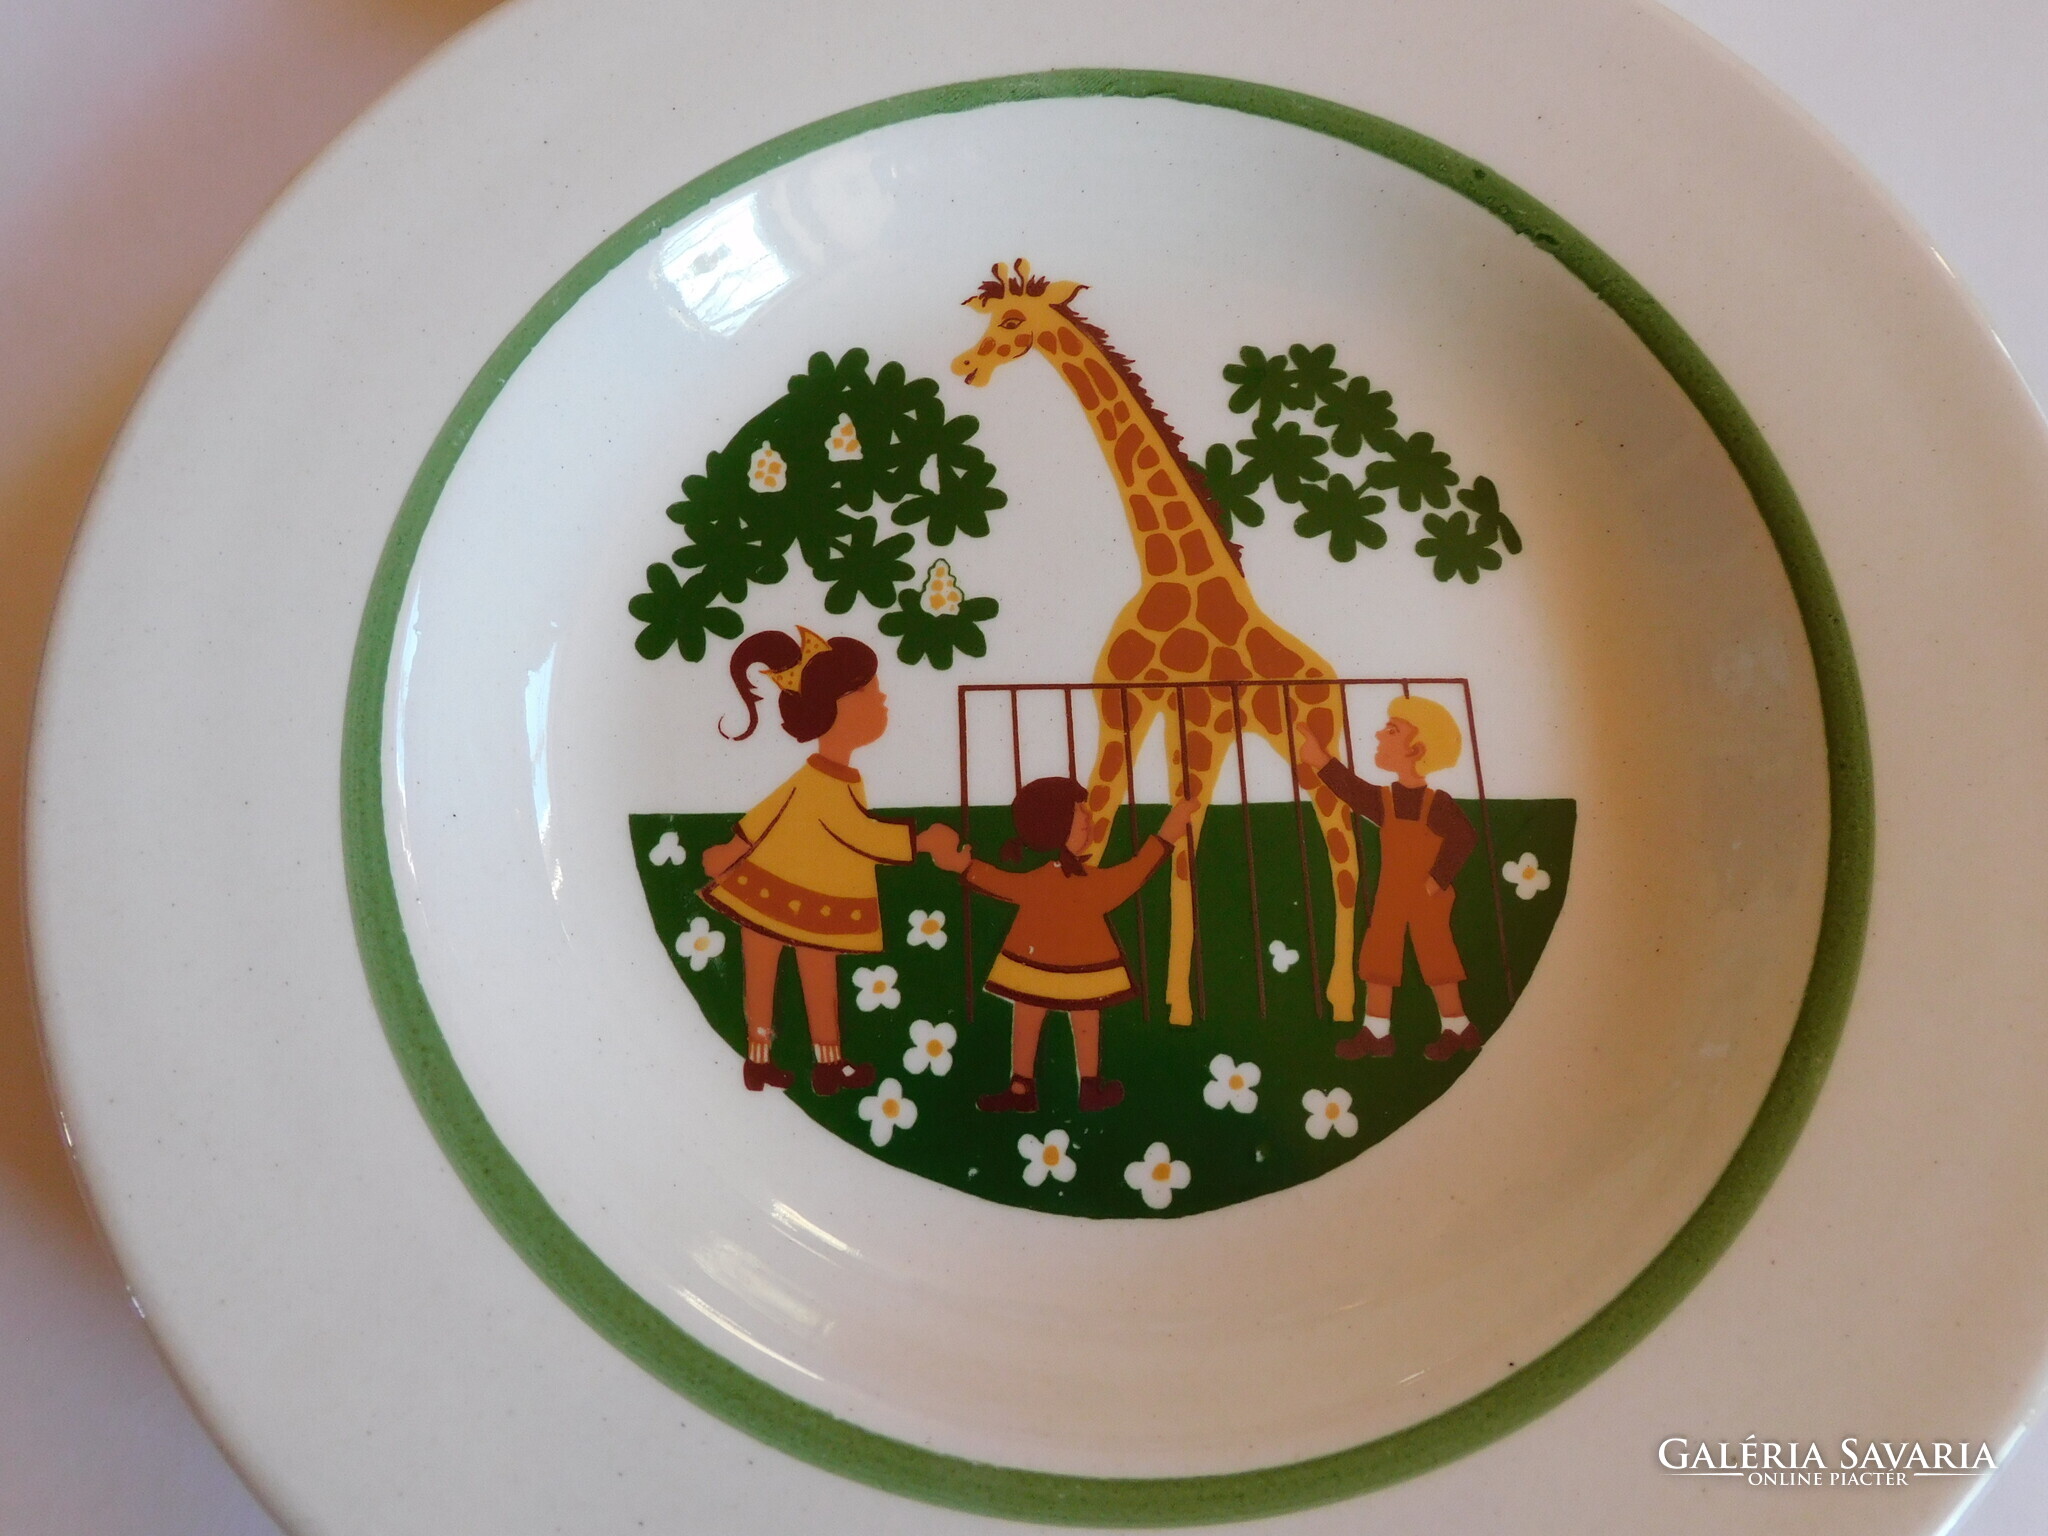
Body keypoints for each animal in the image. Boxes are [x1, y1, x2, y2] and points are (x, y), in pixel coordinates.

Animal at [952, 259, 1360, 1026]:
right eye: (985, 319)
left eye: (1013, 321)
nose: (966, 365)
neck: (1168, 567)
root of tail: (1332, 680)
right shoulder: (1127, 708)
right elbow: (1102, 825)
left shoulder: (1200, 723)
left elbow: (1180, 860)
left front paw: (1177, 1009)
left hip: (1310, 747)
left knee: (1345, 850)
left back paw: (1345, 998)